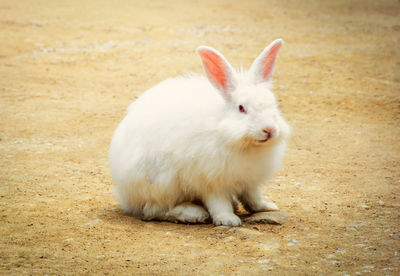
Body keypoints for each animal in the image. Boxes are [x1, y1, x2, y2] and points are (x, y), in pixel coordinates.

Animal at [109, 38, 290, 225]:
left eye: (274, 103)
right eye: (241, 108)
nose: (269, 129)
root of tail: (126, 198)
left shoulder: (250, 181)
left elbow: (253, 197)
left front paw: (267, 206)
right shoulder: (211, 181)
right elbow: (218, 203)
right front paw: (228, 220)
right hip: (162, 185)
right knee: (154, 210)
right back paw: (193, 213)